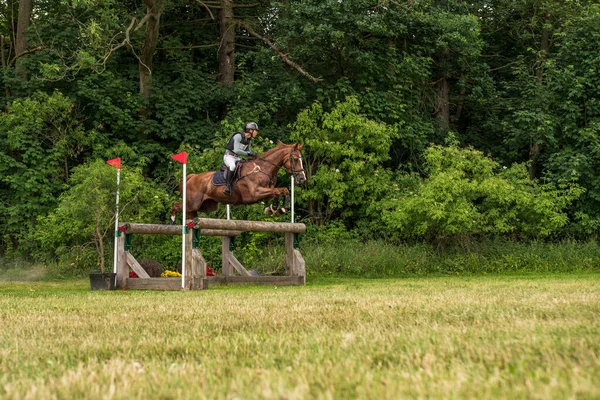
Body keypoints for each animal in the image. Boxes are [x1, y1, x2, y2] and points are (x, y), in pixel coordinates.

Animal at [170, 141, 308, 222]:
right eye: (295, 159)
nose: (302, 178)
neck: (262, 168)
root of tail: (191, 177)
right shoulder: (255, 194)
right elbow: (277, 191)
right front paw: (274, 208)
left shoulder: (265, 194)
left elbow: (282, 190)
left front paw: (277, 209)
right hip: (193, 203)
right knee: (176, 205)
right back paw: (172, 220)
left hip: (206, 206)